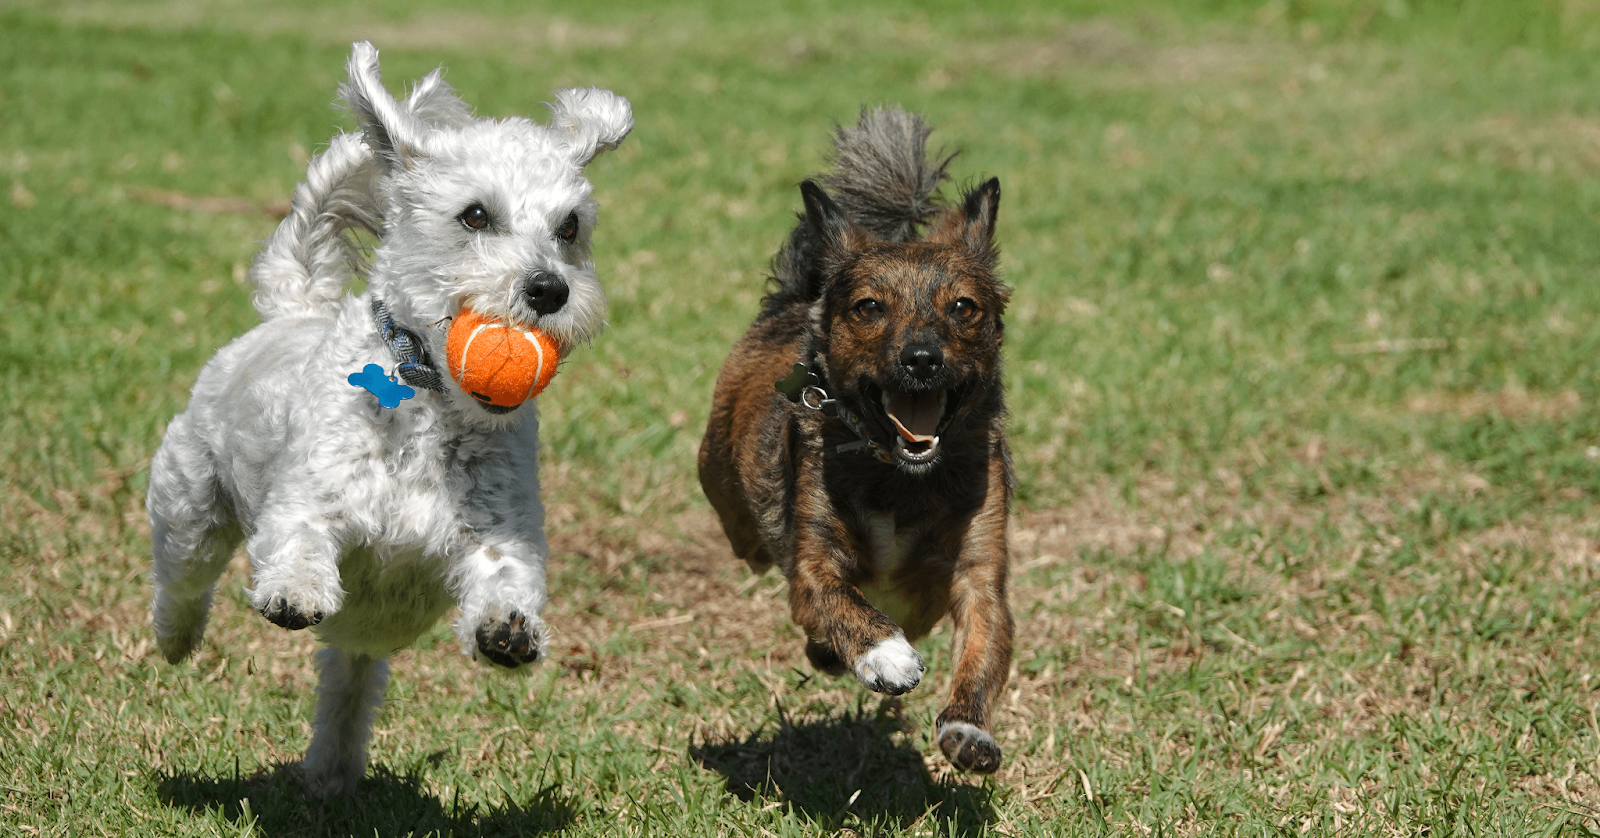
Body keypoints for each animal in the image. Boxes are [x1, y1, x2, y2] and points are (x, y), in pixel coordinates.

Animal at [145, 42, 630, 796]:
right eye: (475, 216)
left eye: (569, 227)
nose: (550, 288)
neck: (429, 398)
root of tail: (296, 308)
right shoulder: (307, 498)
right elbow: (299, 537)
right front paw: (294, 590)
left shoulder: (500, 531)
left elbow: (506, 574)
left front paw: (508, 630)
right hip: (190, 497)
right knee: (184, 575)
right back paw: (176, 637)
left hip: (357, 643)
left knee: (348, 684)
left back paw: (333, 771)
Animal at [697, 109, 1011, 774]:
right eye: (869, 307)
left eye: (963, 307)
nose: (921, 358)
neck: (899, 473)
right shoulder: (813, 561)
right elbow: (839, 600)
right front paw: (884, 654)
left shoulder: (979, 576)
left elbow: (982, 648)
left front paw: (968, 729)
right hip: (729, 501)